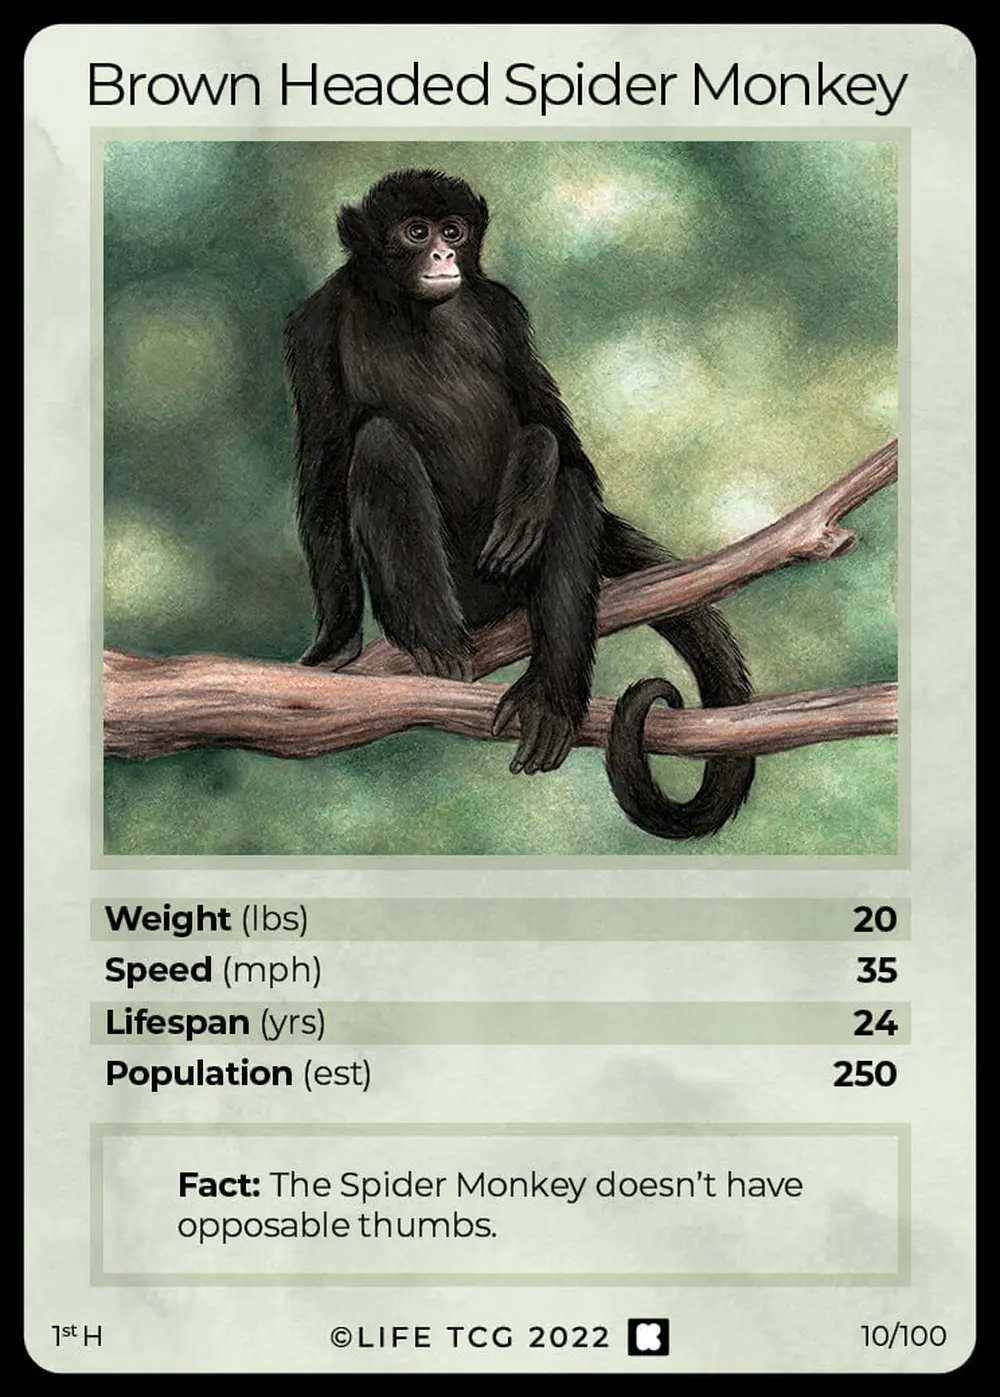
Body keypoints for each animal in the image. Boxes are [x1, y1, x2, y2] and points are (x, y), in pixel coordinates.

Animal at [284, 169, 754, 840]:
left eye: (453, 231)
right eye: (416, 232)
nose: (443, 257)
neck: (412, 311)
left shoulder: (504, 311)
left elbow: (566, 450)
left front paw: (534, 462)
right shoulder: (314, 323)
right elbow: (325, 470)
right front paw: (335, 644)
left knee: (570, 492)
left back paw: (548, 700)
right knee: (379, 442)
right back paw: (433, 642)